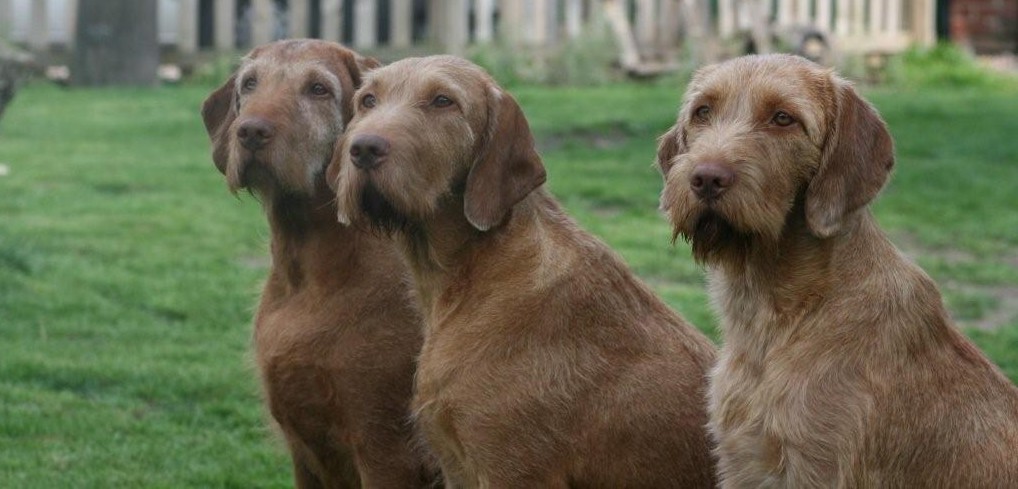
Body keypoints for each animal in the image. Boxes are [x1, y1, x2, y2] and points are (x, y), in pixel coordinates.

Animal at [326, 55, 718, 488]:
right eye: (368, 100)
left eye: (443, 101)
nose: (363, 148)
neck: (476, 270)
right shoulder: (456, 464)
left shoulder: (512, 471)